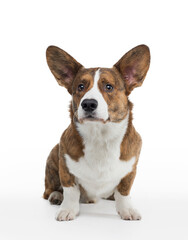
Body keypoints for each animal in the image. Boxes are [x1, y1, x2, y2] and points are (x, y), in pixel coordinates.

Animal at [43, 44, 151, 221]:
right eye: (80, 87)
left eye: (109, 87)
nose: (88, 104)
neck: (100, 136)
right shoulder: (65, 166)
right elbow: (71, 191)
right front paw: (68, 210)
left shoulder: (130, 170)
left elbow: (124, 191)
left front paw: (127, 210)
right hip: (53, 154)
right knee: (48, 191)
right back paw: (56, 196)